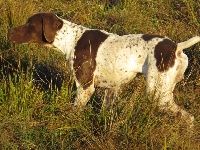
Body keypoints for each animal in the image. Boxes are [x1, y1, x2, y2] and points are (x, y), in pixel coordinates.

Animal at [8, 12, 200, 125]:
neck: (71, 39)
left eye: (30, 24)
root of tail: (176, 47)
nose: (9, 32)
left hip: (158, 95)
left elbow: (74, 110)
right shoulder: (111, 89)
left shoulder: (85, 87)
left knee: (187, 117)